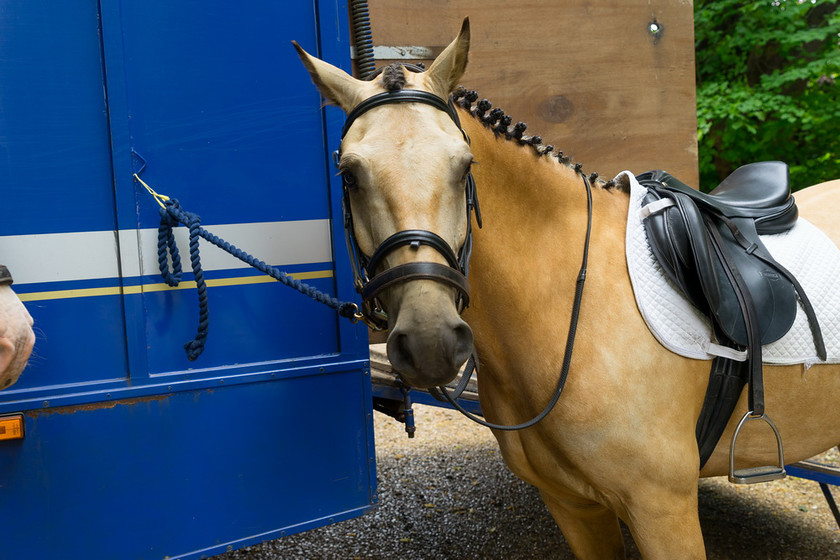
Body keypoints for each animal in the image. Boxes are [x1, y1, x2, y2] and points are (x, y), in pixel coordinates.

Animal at [298, 19, 840, 556]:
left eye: (465, 165)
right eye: (349, 174)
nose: (431, 341)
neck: (570, 308)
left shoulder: (664, 510)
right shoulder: (574, 506)